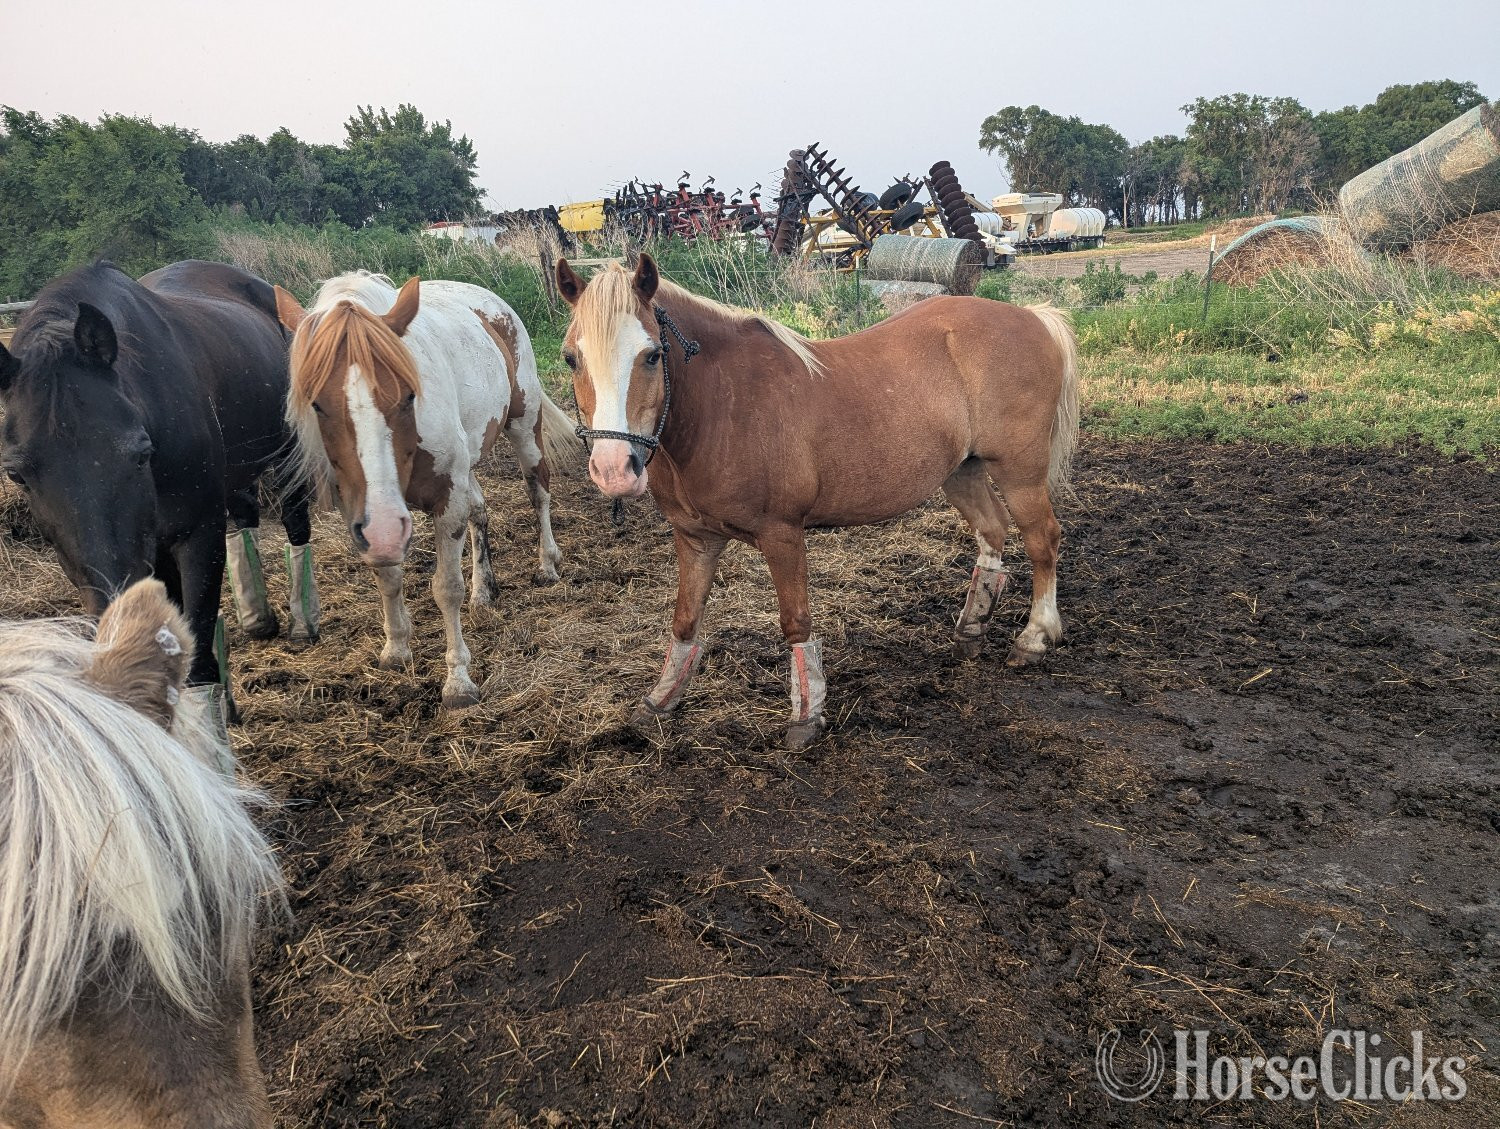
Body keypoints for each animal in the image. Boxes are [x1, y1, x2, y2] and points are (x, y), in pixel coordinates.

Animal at [0, 260, 321, 728]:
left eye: (140, 453)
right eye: (16, 474)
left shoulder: (196, 536)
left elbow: (198, 665)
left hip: (288, 452)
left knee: (296, 520)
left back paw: (303, 620)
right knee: (245, 516)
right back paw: (257, 616)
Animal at [273, 272, 578, 707]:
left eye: (408, 395)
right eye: (317, 404)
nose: (386, 527)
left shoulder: (446, 501)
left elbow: (446, 588)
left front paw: (458, 681)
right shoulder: (365, 517)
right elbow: (388, 577)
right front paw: (396, 648)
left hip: (524, 426)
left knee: (539, 493)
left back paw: (547, 564)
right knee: (480, 511)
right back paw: (483, 590)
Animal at [555, 254, 1079, 748]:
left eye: (651, 355)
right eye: (570, 359)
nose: (614, 469)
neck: (721, 406)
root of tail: (1033, 317)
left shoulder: (782, 535)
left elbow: (796, 622)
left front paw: (806, 715)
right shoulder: (695, 538)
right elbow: (685, 622)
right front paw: (661, 699)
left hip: (1019, 474)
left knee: (1043, 541)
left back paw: (1035, 638)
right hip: (961, 471)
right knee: (993, 531)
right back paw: (971, 629)